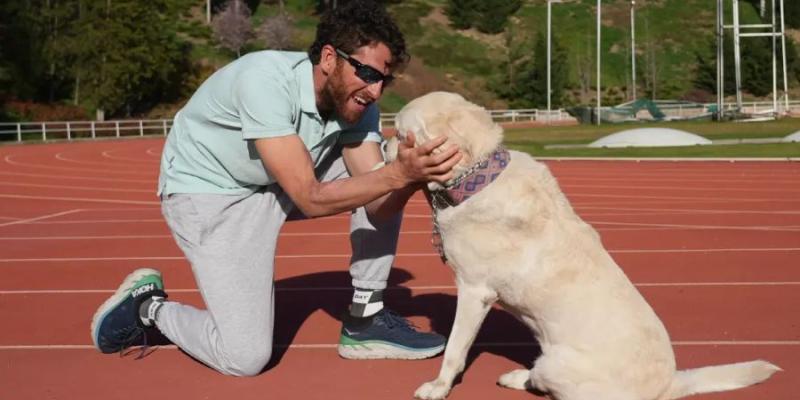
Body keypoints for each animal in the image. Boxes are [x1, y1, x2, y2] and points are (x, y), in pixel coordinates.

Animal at [384, 91, 780, 400]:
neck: (477, 178)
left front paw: (438, 387)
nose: (383, 144)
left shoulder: (474, 291)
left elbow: (454, 349)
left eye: (401, 135)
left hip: (556, 364)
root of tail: (670, 385)